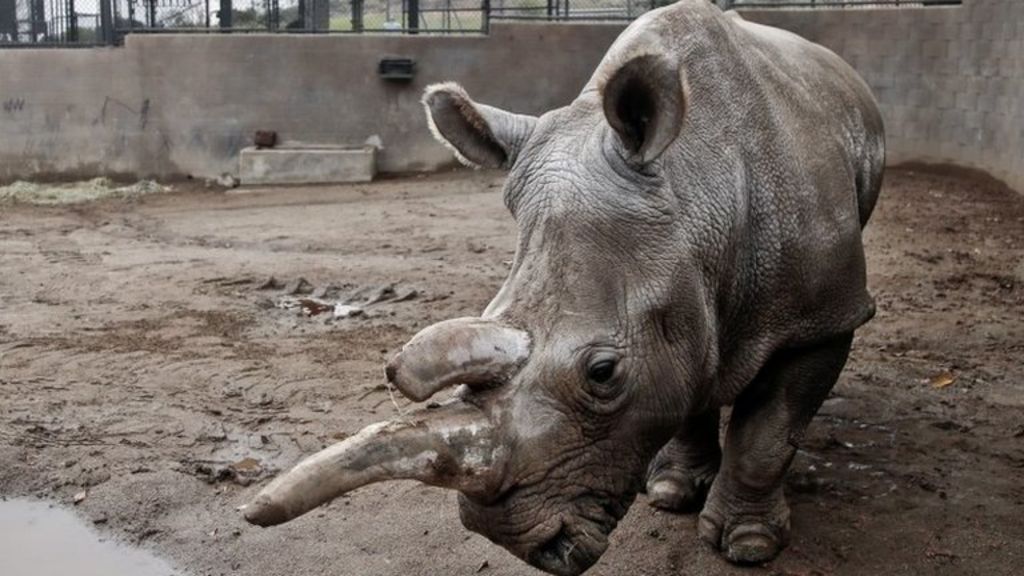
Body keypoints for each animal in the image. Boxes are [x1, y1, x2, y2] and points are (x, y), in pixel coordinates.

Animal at [242, 1, 884, 574]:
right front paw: (672, 492)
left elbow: (767, 435)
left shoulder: (826, 317)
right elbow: (689, 379)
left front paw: (749, 545)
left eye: (602, 373)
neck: (698, 193)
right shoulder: (684, 290)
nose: (516, 543)